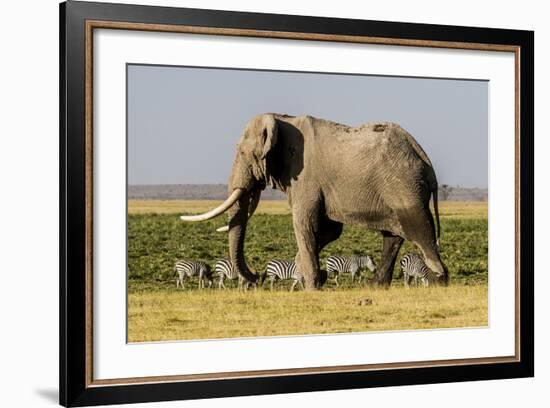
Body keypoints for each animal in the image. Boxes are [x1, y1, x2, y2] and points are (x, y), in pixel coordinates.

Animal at [183, 113, 450, 288]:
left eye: (242, 153)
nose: (257, 276)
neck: (282, 120)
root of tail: (426, 160)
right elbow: (329, 230)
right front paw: (308, 274)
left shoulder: (305, 177)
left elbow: (305, 225)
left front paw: (311, 285)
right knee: (393, 236)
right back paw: (376, 286)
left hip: (404, 186)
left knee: (419, 229)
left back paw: (439, 280)